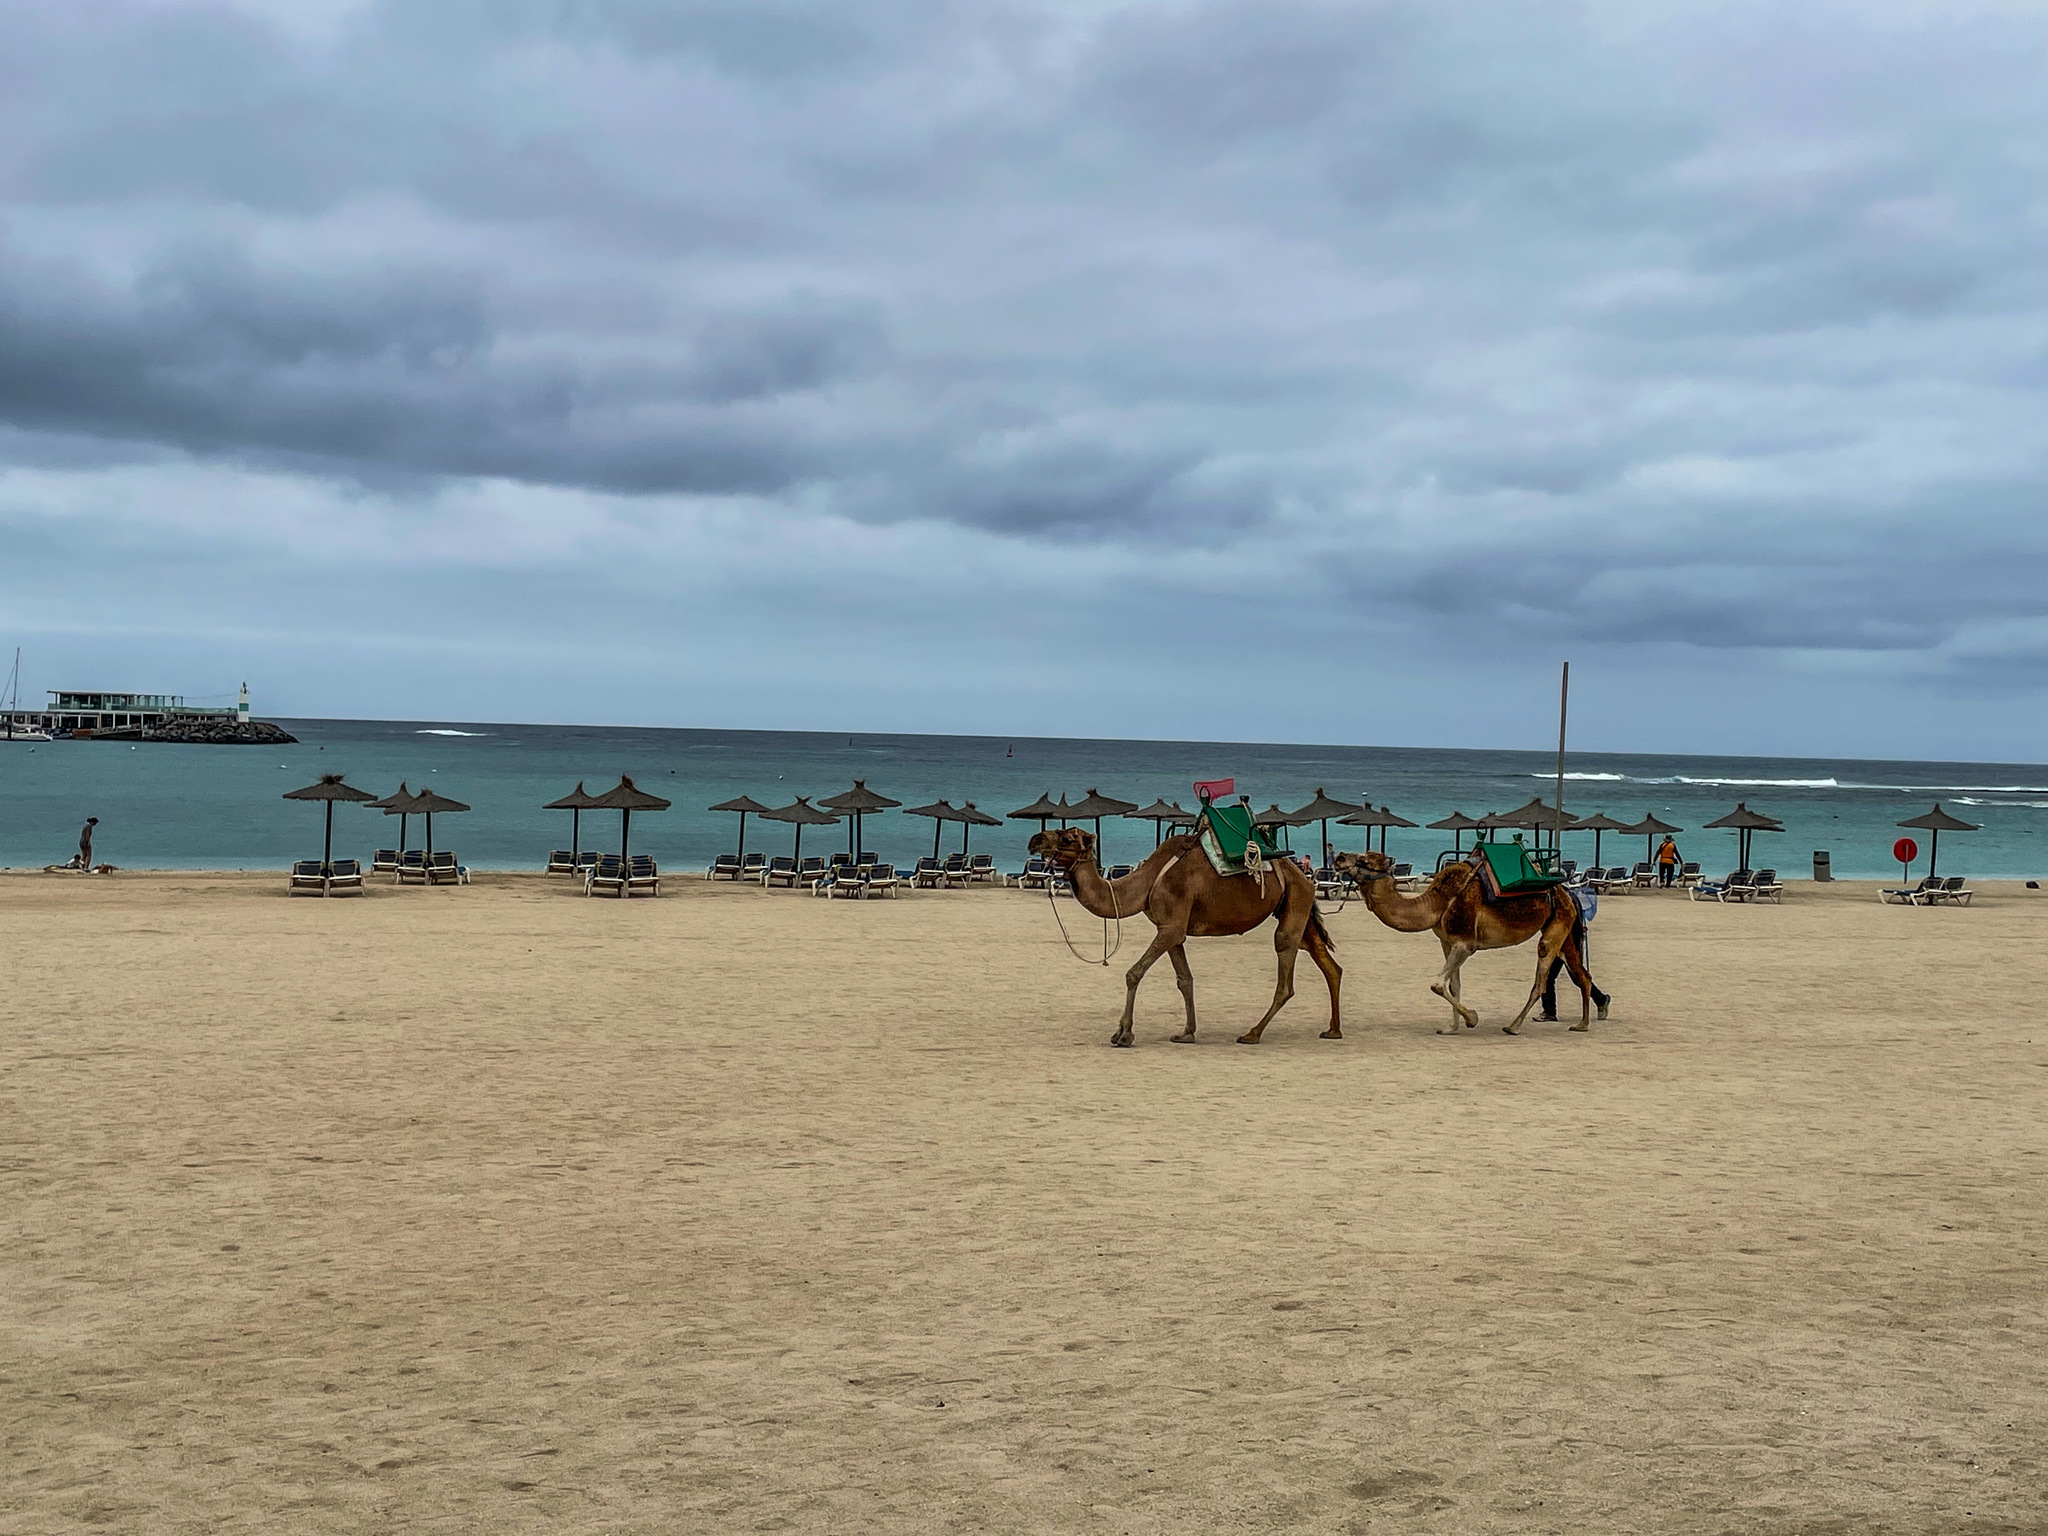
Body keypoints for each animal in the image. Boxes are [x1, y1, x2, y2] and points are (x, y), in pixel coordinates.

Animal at [1024, 835, 1343, 1056]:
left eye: (1067, 837)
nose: (1034, 839)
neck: (1147, 883)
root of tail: (1303, 877)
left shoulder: (1171, 927)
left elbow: (1133, 973)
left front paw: (1123, 1034)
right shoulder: (1172, 930)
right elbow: (1184, 980)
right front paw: (1187, 1033)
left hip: (1293, 906)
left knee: (1285, 970)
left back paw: (1252, 1034)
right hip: (1297, 908)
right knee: (1329, 965)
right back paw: (1333, 1030)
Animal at [1335, 847, 1605, 1040]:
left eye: (1365, 860)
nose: (1338, 857)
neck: (1438, 903)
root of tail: (1567, 892)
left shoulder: (1466, 944)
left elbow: (1436, 984)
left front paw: (1472, 1018)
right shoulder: (1447, 942)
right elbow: (1453, 984)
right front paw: (1451, 1027)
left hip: (1556, 928)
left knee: (1542, 977)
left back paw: (1513, 1026)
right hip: (1565, 930)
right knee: (1582, 974)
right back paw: (1582, 1024)